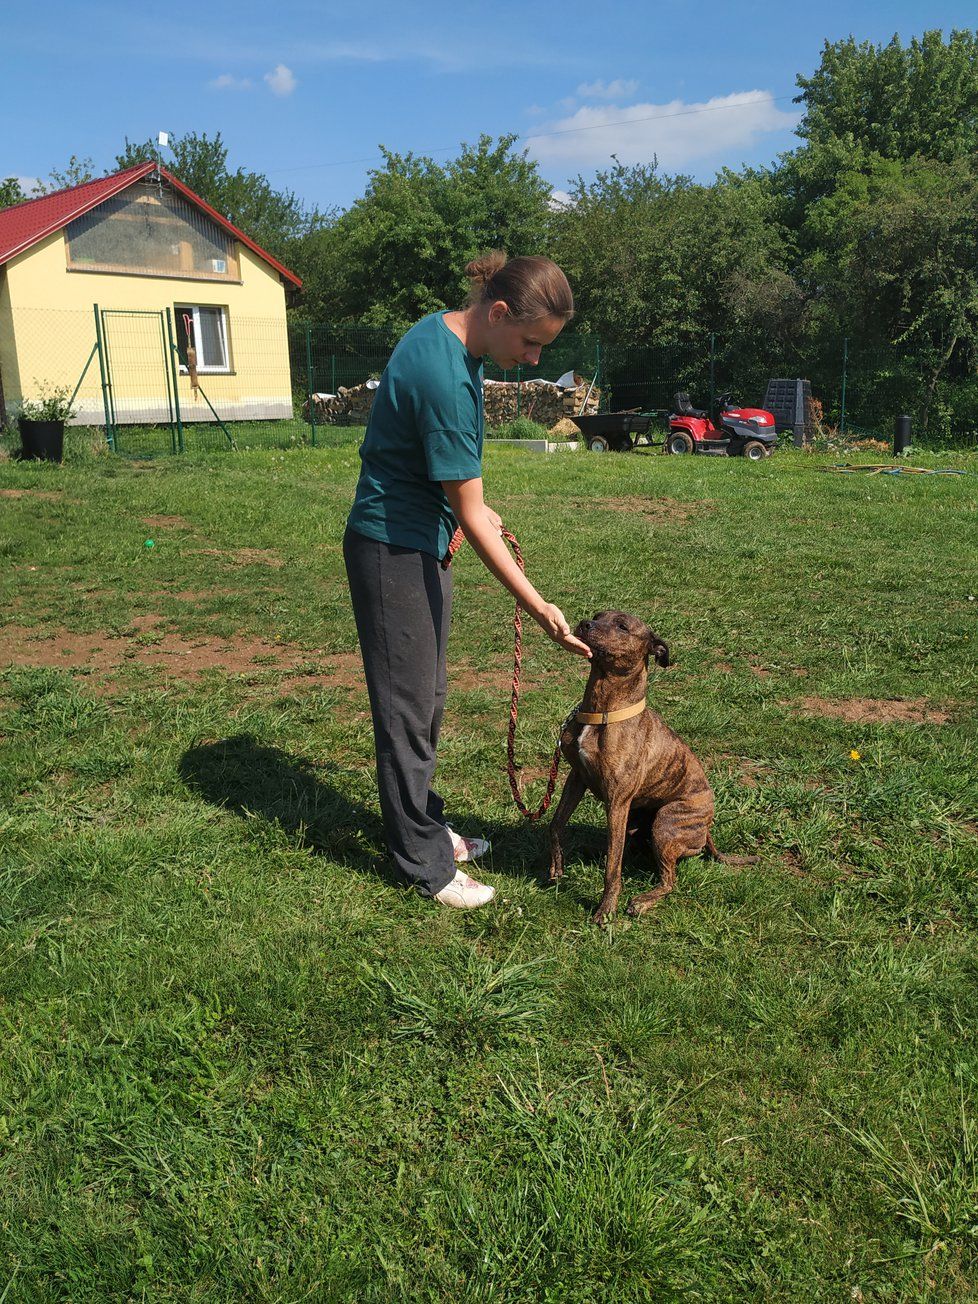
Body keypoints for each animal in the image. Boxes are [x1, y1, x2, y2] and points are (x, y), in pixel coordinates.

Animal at [552, 612, 740, 928]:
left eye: (622, 626)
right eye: (598, 615)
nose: (585, 623)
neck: (603, 708)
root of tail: (707, 830)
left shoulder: (617, 802)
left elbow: (613, 869)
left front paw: (606, 910)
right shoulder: (576, 778)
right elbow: (556, 823)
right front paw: (556, 866)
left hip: (665, 823)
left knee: (668, 880)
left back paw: (640, 901)